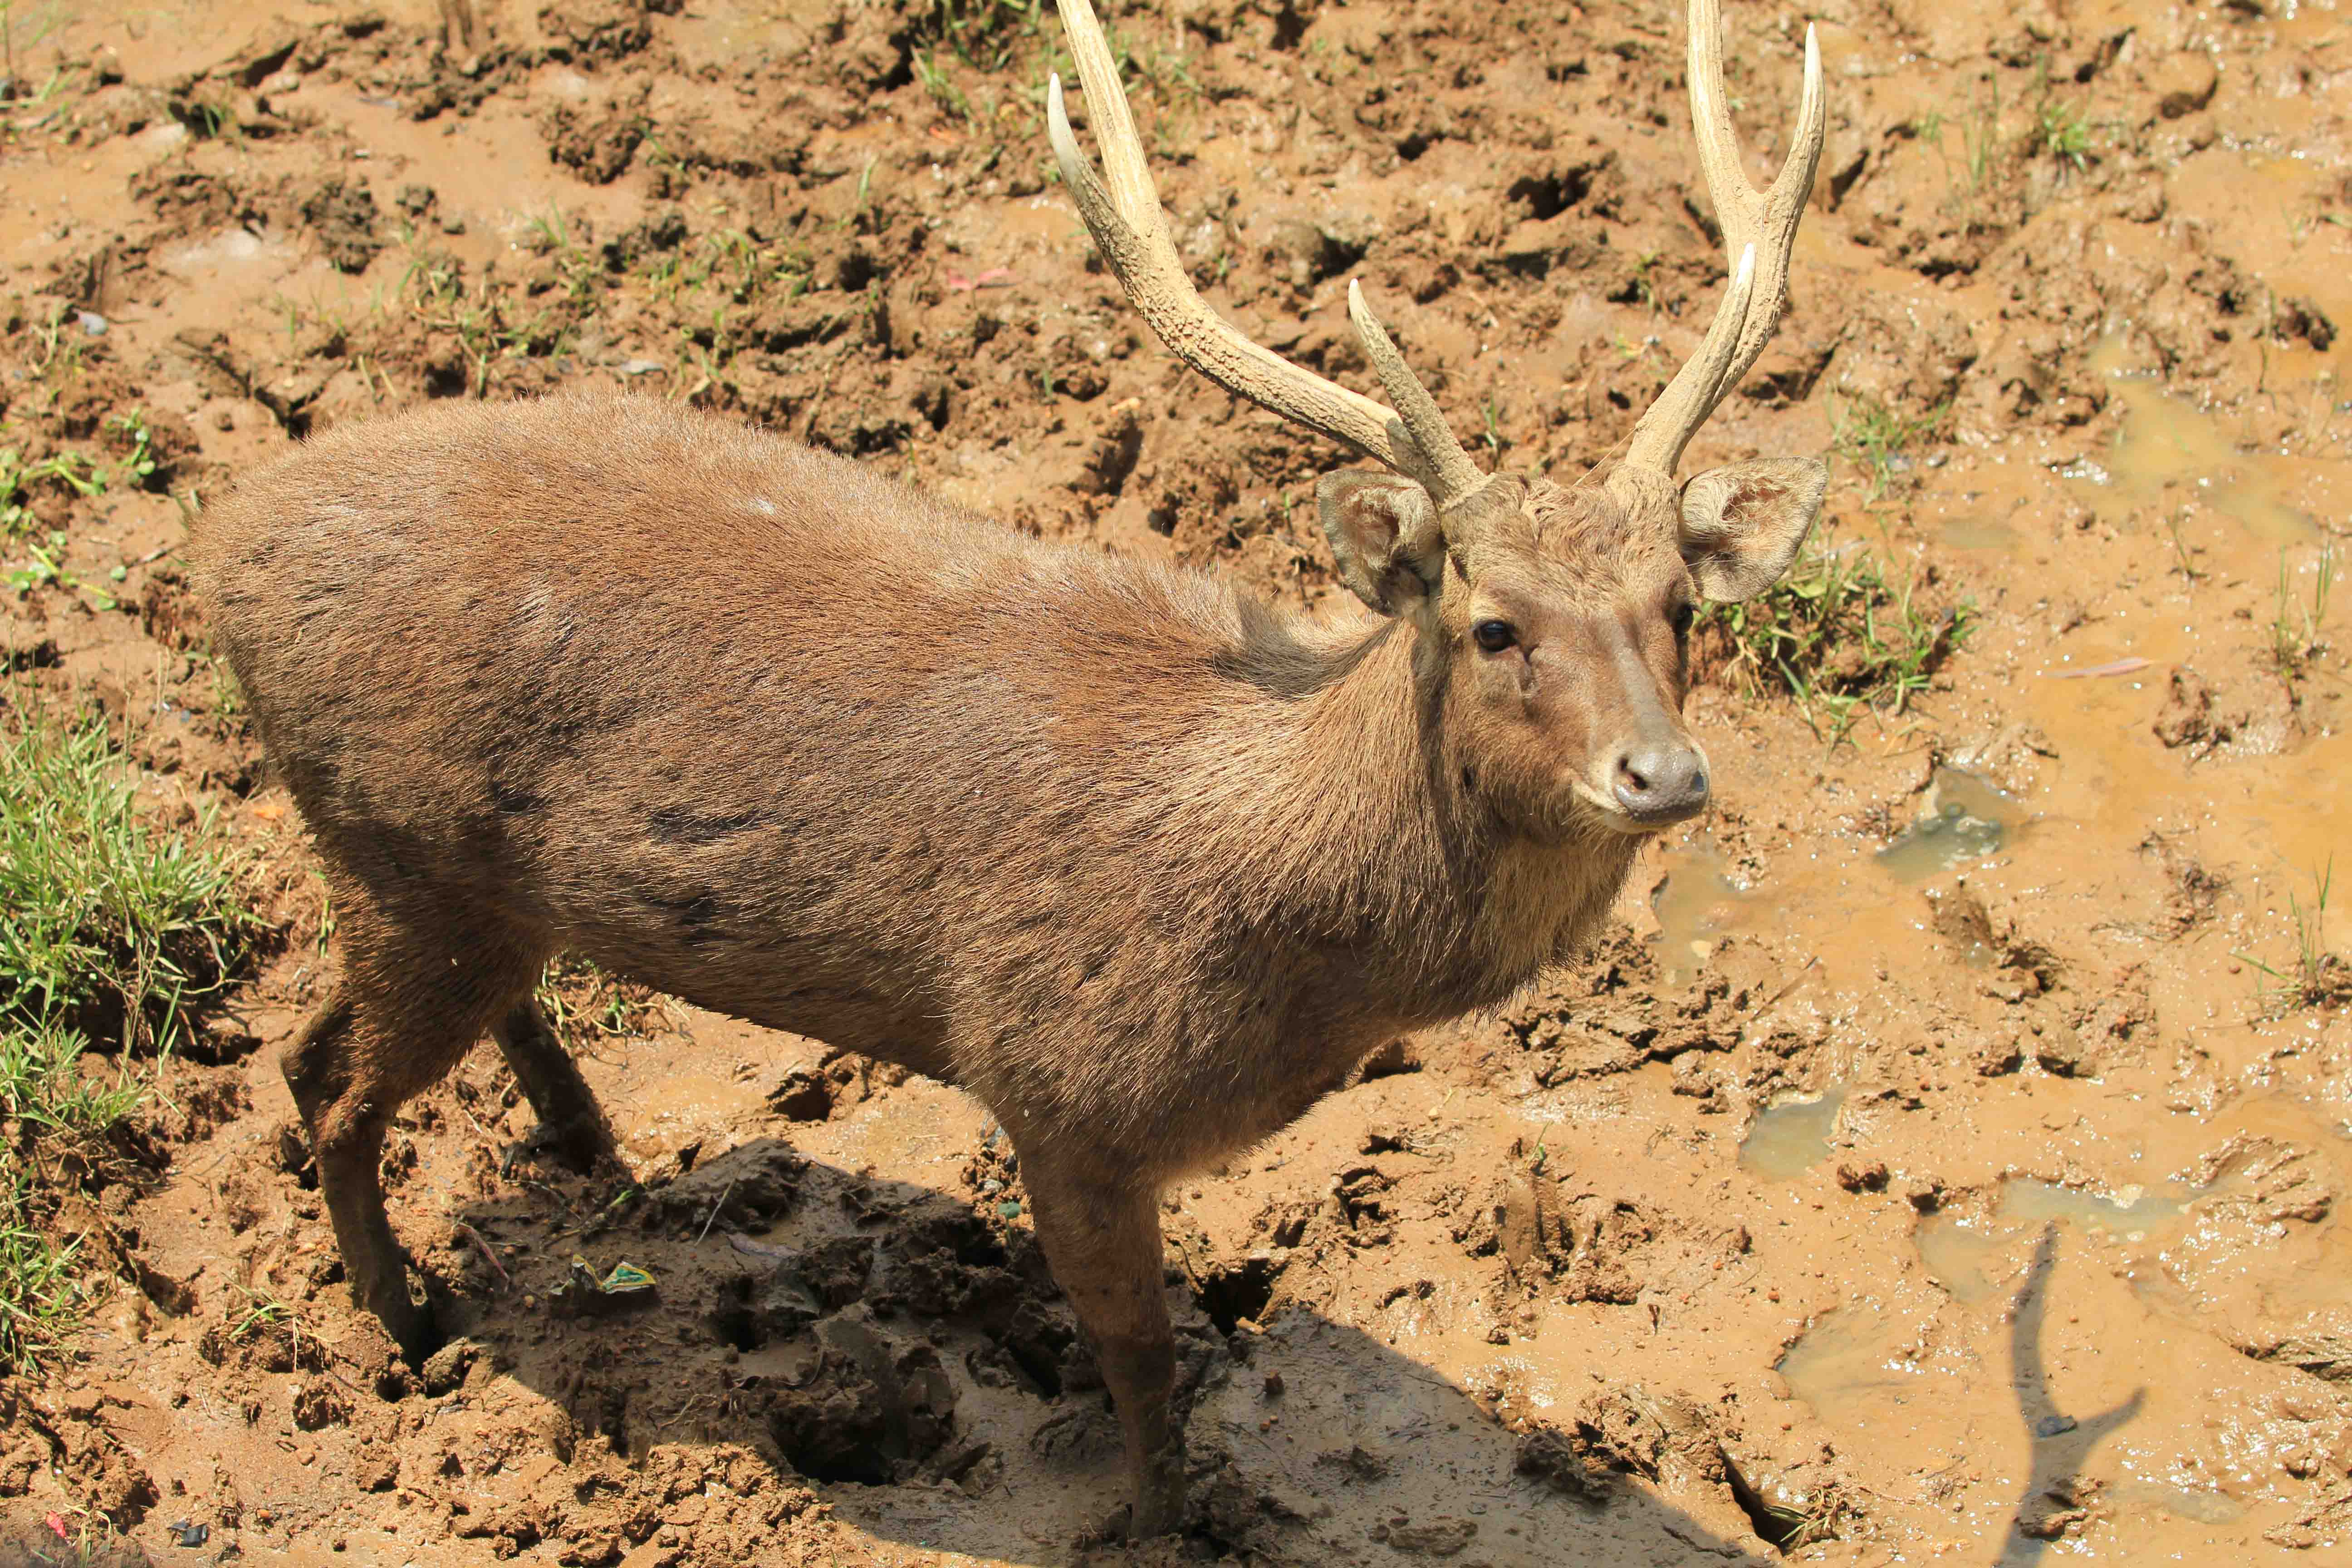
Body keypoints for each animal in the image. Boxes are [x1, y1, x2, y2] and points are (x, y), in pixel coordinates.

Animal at [191, 0, 1824, 1538]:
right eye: (1493, 624)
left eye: (1680, 608)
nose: (1662, 774)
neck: (1280, 933)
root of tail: (228, 539)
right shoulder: (1060, 1086)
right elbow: (1142, 1358)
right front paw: (1166, 1524)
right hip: (393, 840)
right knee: (328, 1084)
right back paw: (411, 1329)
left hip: (442, 873)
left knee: (376, 1033)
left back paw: (586, 1151)